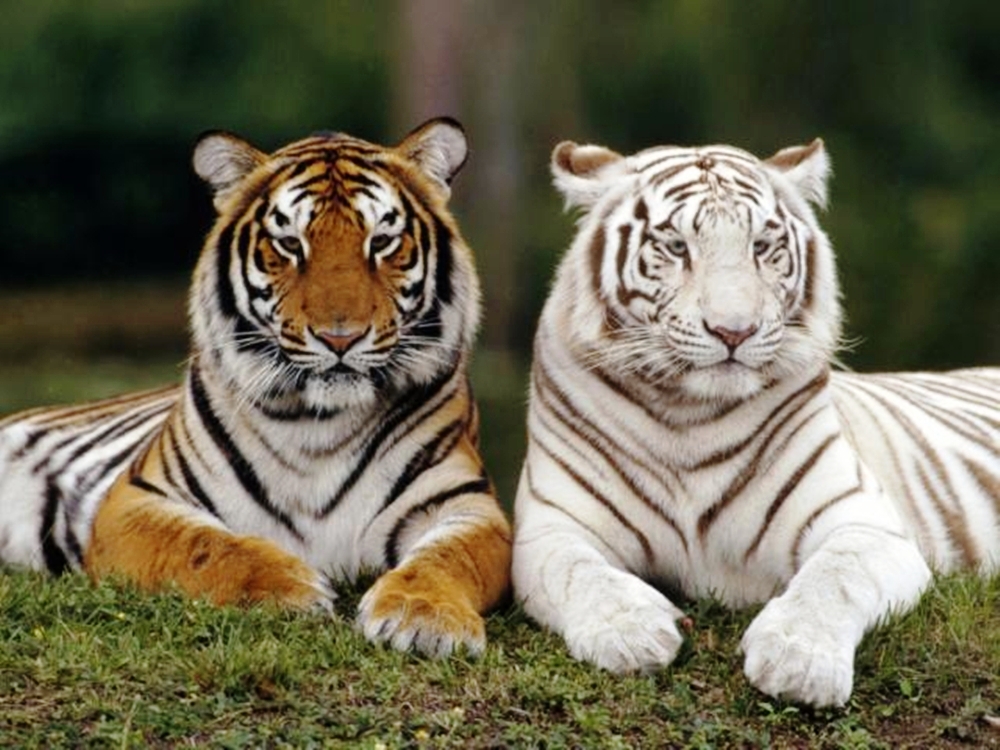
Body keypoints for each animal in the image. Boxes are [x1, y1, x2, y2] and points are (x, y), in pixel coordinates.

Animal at [0, 117, 511, 658]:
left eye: (381, 241)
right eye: (289, 244)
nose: (340, 338)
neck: (319, 423)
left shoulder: (467, 504)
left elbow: (448, 558)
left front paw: (425, 617)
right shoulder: (138, 500)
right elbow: (204, 546)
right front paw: (289, 587)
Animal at [511, 136, 1000, 707]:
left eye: (762, 246)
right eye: (676, 246)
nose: (734, 331)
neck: (688, 416)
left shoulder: (865, 524)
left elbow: (834, 577)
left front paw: (798, 661)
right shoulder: (552, 528)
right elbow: (579, 572)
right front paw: (631, 632)